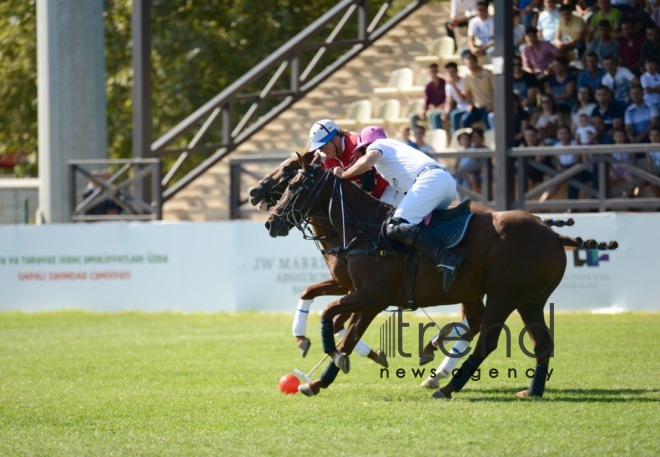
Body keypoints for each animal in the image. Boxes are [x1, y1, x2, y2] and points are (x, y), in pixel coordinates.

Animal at [266, 152, 616, 396]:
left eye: (294, 184)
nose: (271, 222)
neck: (361, 230)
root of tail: (553, 235)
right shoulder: (363, 296)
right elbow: (344, 330)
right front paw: (316, 381)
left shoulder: (369, 295)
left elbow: (331, 317)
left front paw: (326, 355)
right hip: (527, 298)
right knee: (536, 341)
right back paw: (527, 390)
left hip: (505, 295)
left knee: (487, 339)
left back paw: (447, 386)